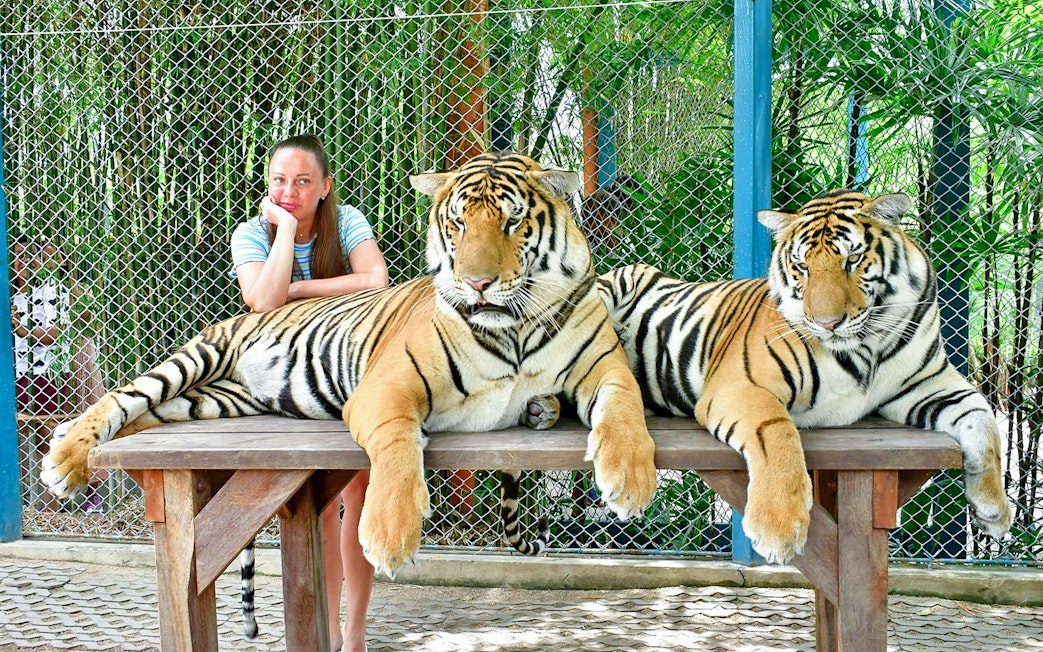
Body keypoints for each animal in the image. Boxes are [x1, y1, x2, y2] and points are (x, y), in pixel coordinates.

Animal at [39, 152, 656, 596]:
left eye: (511, 221)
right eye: (457, 224)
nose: (476, 283)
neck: (515, 327)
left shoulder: (604, 364)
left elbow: (625, 406)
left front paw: (629, 481)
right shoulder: (387, 387)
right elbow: (398, 447)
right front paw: (389, 534)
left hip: (209, 400)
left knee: (148, 416)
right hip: (197, 359)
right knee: (123, 397)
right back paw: (64, 461)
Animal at [597, 190, 1013, 564]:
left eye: (853, 259)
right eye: (803, 267)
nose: (827, 323)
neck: (867, 345)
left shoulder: (930, 384)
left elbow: (984, 421)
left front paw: (994, 511)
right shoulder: (741, 385)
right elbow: (777, 432)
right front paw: (778, 528)